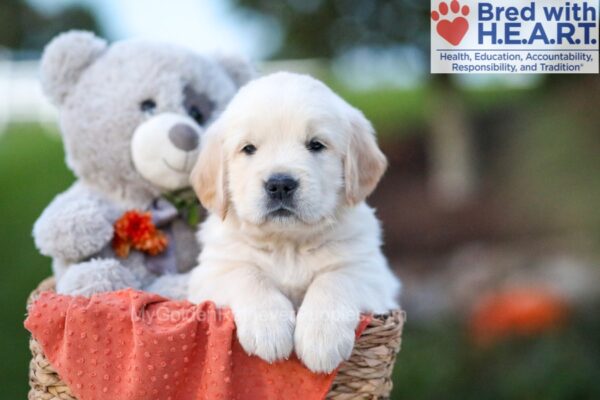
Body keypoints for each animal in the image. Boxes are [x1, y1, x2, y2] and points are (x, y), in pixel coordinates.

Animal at [190, 71, 400, 372]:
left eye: (316, 145)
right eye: (248, 148)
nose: (280, 184)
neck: (287, 245)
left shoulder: (372, 273)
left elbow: (335, 277)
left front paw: (321, 337)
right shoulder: (210, 274)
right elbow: (246, 273)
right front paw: (268, 328)